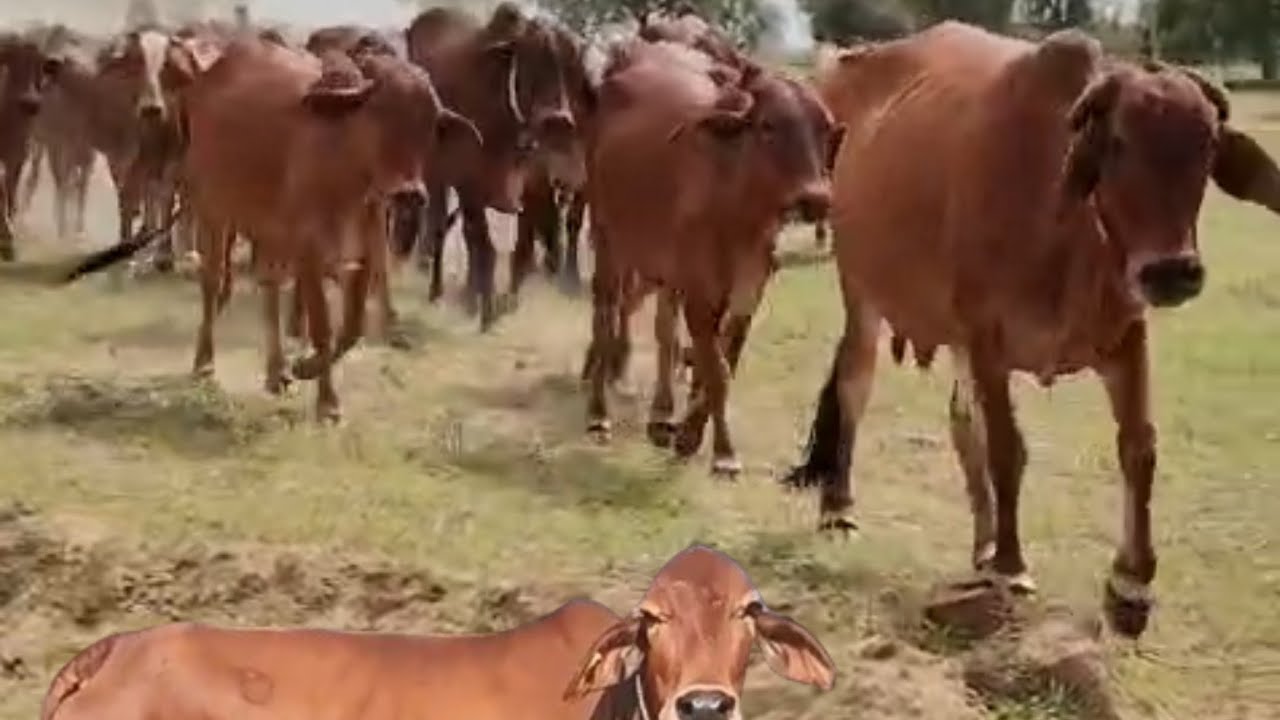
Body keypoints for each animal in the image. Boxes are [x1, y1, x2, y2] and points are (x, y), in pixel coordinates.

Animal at [0, 32, 63, 260]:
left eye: (40, 68)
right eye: (13, 63)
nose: (30, 102)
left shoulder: (19, 155)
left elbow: (11, 190)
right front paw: (6, 238)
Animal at [405, 2, 586, 331]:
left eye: (571, 68)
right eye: (530, 60)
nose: (558, 120)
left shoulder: (534, 188)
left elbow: (522, 252)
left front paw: (505, 303)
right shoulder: (469, 182)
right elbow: (483, 246)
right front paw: (484, 310)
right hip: (437, 176)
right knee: (440, 228)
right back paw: (442, 291)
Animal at [584, 38, 841, 478]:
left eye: (824, 127)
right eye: (768, 125)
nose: (816, 199)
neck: (739, 214)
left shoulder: (748, 290)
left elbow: (721, 362)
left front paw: (688, 434)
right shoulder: (700, 293)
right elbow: (716, 368)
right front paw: (722, 453)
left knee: (663, 330)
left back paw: (660, 415)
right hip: (609, 239)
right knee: (607, 314)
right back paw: (598, 414)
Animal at [783, 22, 1280, 639]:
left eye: (1209, 144)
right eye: (1117, 143)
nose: (1171, 271)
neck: (1068, 234)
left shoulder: (1124, 338)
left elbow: (1138, 448)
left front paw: (1130, 586)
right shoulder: (986, 337)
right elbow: (1007, 449)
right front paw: (1012, 566)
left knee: (960, 421)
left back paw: (981, 544)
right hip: (861, 291)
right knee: (855, 385)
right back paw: (840, 510)